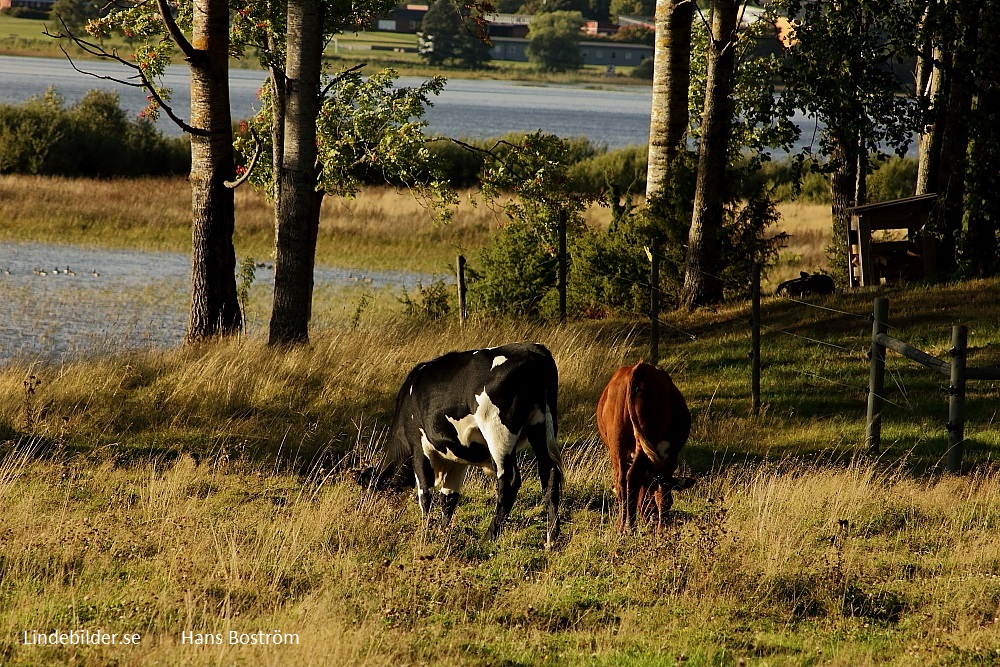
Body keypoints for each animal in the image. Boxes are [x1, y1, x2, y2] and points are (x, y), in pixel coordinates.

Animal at [384, 344, 564, 548]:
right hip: (541, 426)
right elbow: (449, 497)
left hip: (497, 432)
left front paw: (424, 533)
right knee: (549, 475)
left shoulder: (419, 447)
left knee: (509, 482)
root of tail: (534, 350)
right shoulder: (457, 458)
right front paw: (443, 532)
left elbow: (425, 493)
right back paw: (551, 539)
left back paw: (489, 537)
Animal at [596, 362, 692, 528]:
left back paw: (621, 527)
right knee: (632, 477)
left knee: (621, 481)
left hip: (617, 442)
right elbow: (663, 496)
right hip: (646, 438)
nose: (651, 520)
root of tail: (639, 368)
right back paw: (630, 527)